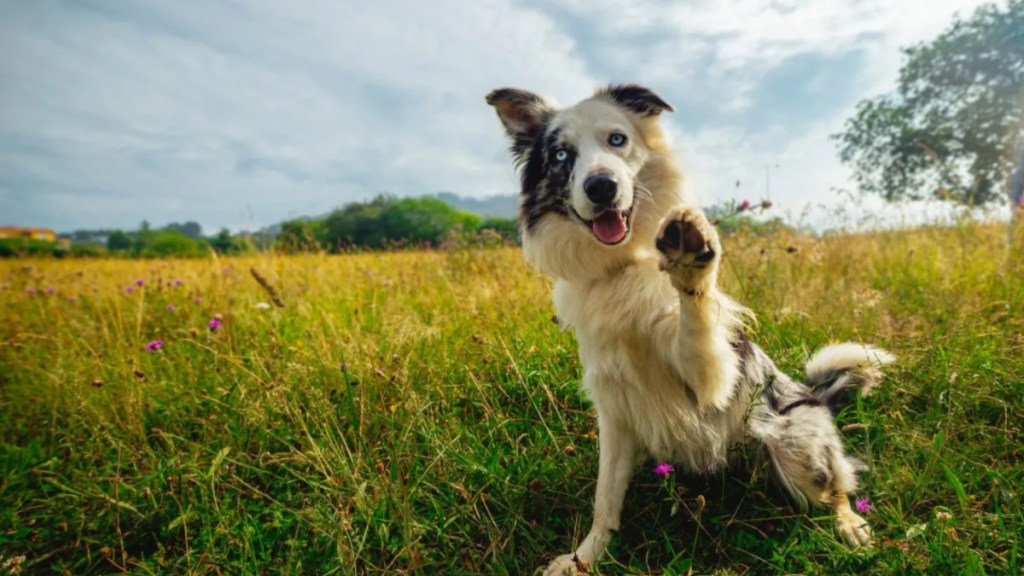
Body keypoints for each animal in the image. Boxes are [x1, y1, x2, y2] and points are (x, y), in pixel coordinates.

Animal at [483, 83, 892, 569]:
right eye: (562, 155)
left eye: (617, 139)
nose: (601, 187)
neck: (623, 266)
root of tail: (816, 397)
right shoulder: (615, 409)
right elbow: (605, 498)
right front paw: (585, 559)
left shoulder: (710, 379)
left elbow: (696, 321)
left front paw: (692, 262)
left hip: (794, 443)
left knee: (836, 488)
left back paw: (850, 525)